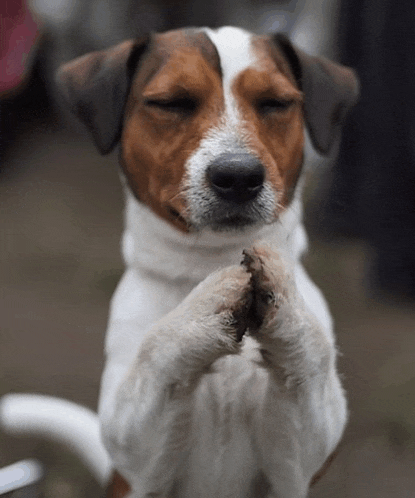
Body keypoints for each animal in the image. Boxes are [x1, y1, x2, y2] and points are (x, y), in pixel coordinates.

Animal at [56, 27, 360, 498]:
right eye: (172, 102)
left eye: (275, 103)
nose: (239, 176)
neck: (212, 259)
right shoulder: (138, 460)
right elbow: (157, 346)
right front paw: (198, 314)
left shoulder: (295, 465)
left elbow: (313, 352)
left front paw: (285, 300)